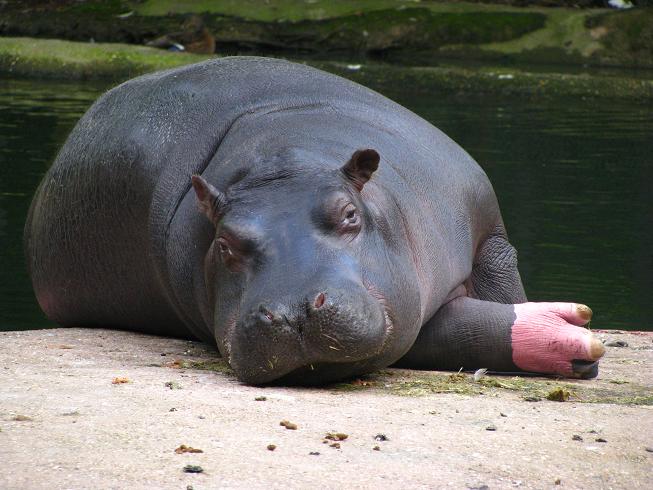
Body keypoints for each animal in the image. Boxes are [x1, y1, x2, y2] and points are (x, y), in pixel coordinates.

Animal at [24, 57, 605, 385]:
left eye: (348, 214)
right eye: (225, 244)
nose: (292, 311)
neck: (284, 163)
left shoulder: (488, 232)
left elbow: (499, 284)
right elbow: (442, 330)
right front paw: (571, 335)